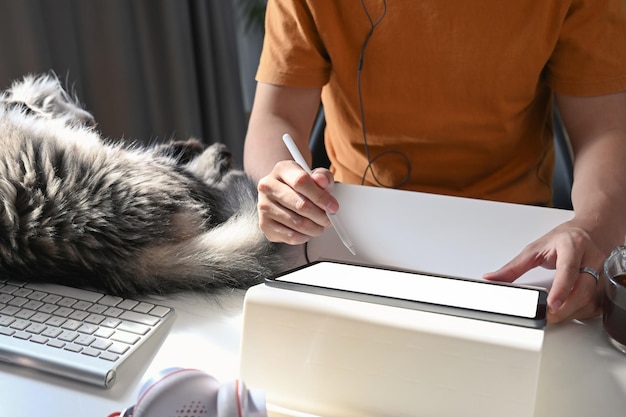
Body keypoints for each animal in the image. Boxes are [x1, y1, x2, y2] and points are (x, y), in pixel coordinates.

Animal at [0, 74, 286, 296]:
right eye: (60, 103)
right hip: (136, 164)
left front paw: (189, 145)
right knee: (206, 182)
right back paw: (219, 158)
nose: (90, 119)